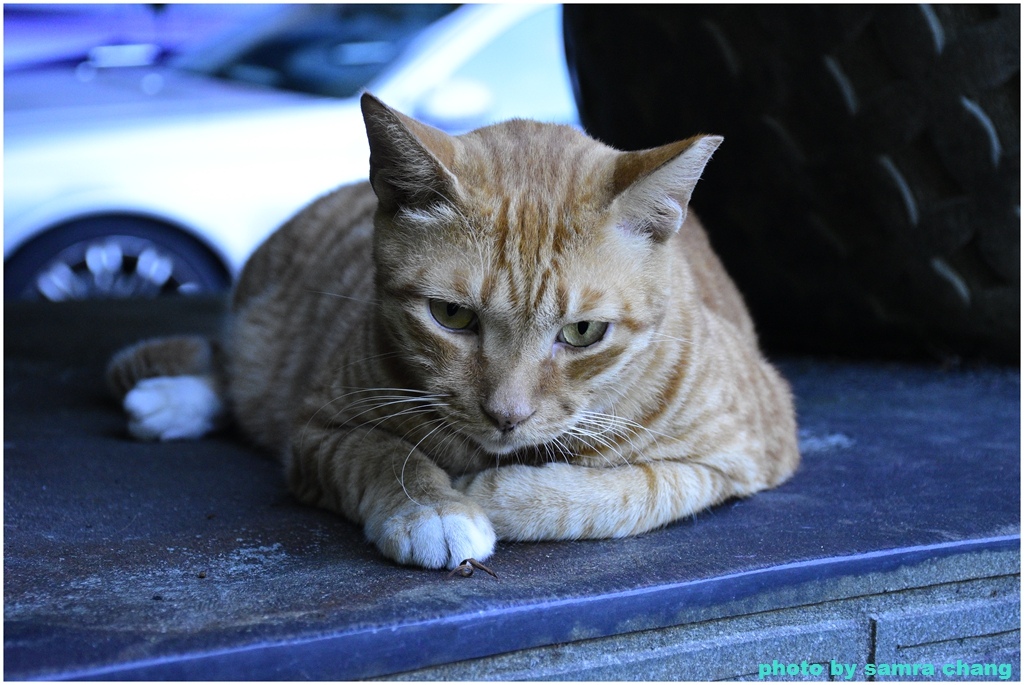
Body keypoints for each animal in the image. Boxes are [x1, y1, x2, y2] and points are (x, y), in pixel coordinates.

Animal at [110, 93, 798, 569]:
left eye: (582, 332)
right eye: (454, 316)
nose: (507, 415)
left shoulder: (745, 452)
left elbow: (620, 494)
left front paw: (487, 494)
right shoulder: (319, 428)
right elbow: (385, 455)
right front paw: (435, 508)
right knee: (234, 375)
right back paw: (169, 400)